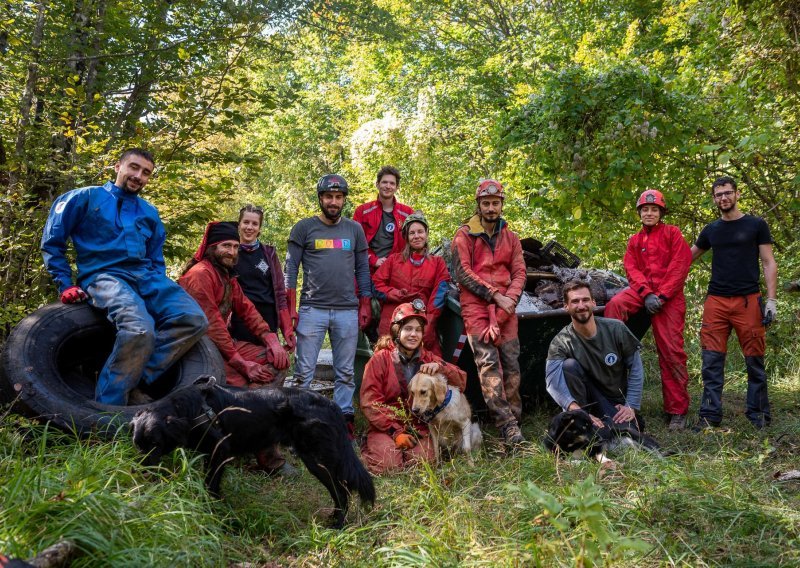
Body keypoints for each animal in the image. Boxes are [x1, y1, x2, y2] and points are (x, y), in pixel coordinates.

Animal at [133, 378, 376, 528]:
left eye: (155, 443)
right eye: (138, 446)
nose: (142, 472)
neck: (189, 409)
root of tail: (329, 403)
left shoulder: (220, 452)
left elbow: (210, 486)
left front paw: (213, 512)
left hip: (317, 459)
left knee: (341, 491)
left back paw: (337, 525)